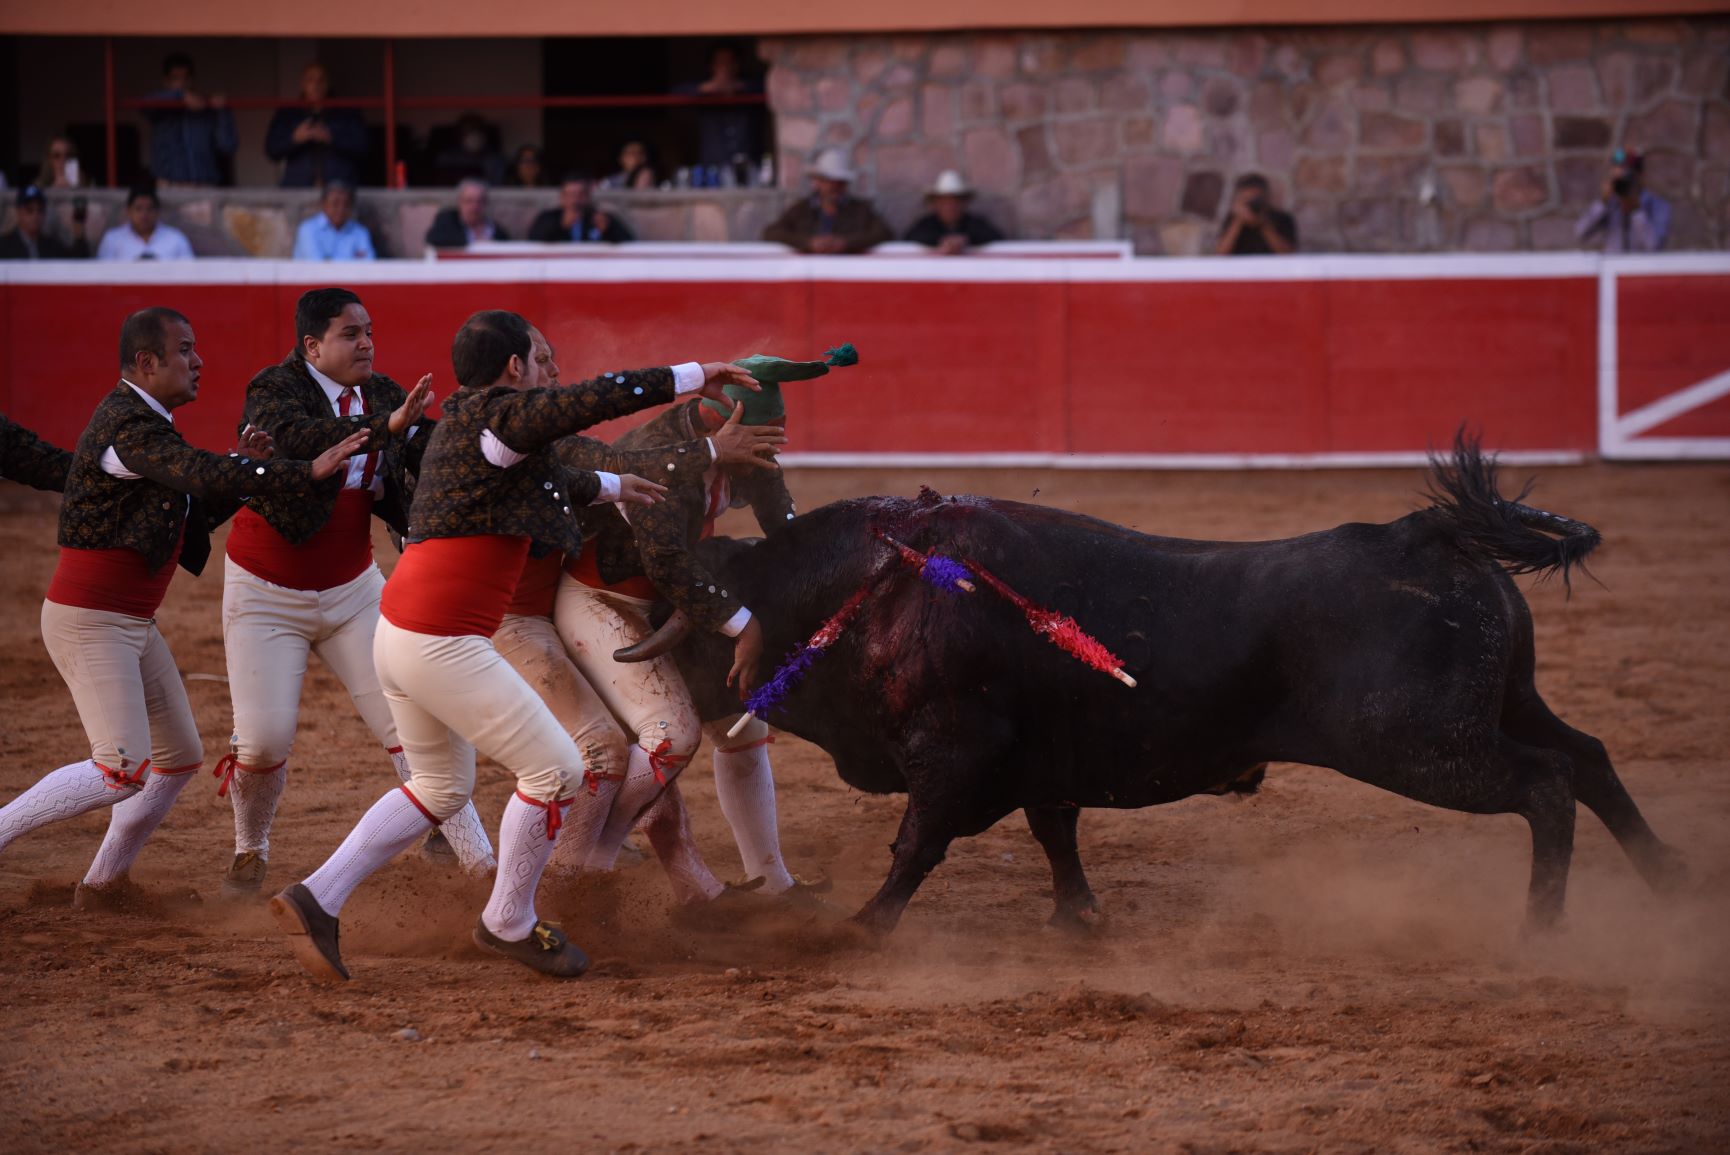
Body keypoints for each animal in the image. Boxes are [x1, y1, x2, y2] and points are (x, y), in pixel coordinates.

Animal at [618, 437, 1685, 936]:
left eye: (694, 634)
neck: (877, 582)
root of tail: (1424, 533)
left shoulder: (953, 750)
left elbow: (919, 842)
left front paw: (862, 929)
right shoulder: (1034, 758)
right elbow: (1055, 830)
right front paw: (1079, 918)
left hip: (1418, 743)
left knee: (1546, 782)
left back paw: (1540, 923)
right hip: (1500, 705)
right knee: (1589, 756)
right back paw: (1670, 877)